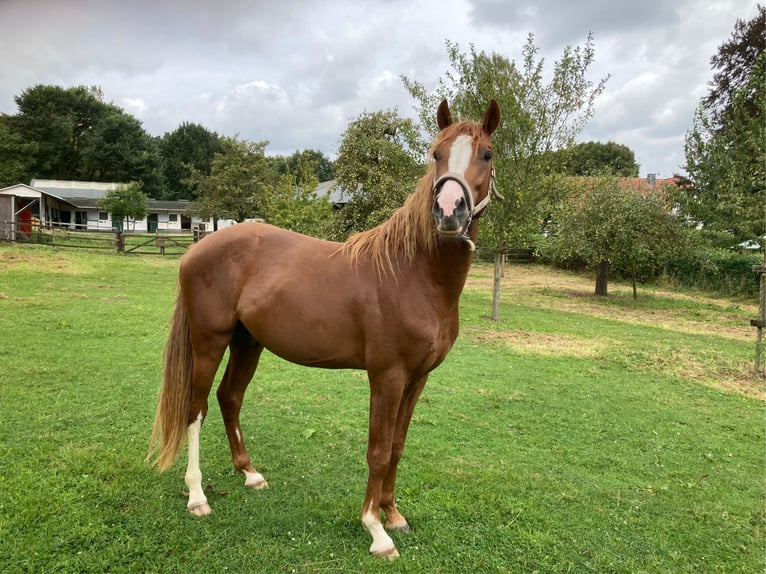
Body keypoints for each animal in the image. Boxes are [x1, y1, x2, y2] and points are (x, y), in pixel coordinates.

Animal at [148, 99, 504, 560]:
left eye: (487, 154)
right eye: (436, 153)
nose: (448, 210)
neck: (413, 274)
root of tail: (197, 249)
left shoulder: (417, 378)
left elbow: (398, 447)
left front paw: (394, 515)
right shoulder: (387, 376)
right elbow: (378, 450)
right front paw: (376, 529)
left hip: (249, 343)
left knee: (230, 398)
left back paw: (250, 473)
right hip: (209, 343)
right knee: (196, 409)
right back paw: (196, 496)